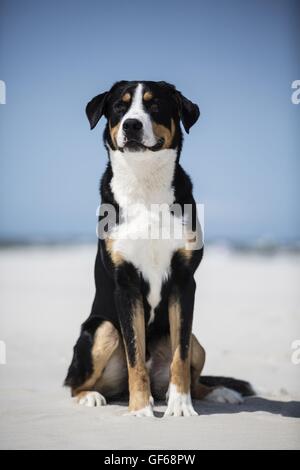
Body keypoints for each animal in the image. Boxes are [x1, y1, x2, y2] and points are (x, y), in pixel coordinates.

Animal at [63, 81, 253, 418]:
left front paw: (180, 406)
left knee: (194, 369)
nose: (132, 125)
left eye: (154, 105)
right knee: (75, 383)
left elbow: (180, 356)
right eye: (120, 106)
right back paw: (92, 396)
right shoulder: (125, 284)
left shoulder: (183, 281)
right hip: (101, 330)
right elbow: (135, 356)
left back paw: (220, 392)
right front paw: (140, 409)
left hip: (197, 342)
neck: (145, 183)